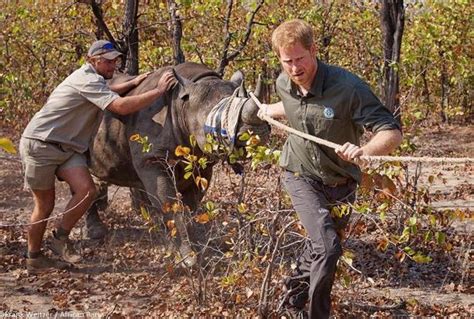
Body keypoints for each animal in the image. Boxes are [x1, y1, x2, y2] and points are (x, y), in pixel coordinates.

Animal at [86, 62, 268, 268]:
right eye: (215, 121)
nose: (257, 133)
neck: (184, 105)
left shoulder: (201, 163)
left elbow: (190, 206)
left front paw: (193, 250)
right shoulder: (152, 159)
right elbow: (170, 204)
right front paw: (187, 261)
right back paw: (96, 232)